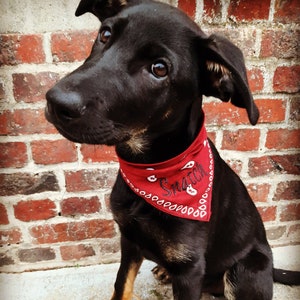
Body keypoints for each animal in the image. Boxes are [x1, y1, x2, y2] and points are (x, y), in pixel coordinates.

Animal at [45, 0, 300, 300]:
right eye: (105, 34)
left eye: (159, 68)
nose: (56, 101)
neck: (153, 169)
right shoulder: (129, 241)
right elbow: (121, 286)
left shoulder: (189, 268)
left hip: (245, 268)